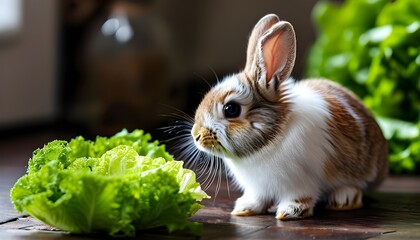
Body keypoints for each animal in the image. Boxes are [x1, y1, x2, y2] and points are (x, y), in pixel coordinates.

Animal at [189, 12, 388, 219]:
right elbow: (257, 199)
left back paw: (343, 200)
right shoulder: (258, 188)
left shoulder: (299, 183)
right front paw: (244, 209)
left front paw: (290, 212)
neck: (272, 138)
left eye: (231, 109)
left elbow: (299, 198)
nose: (196, 136)